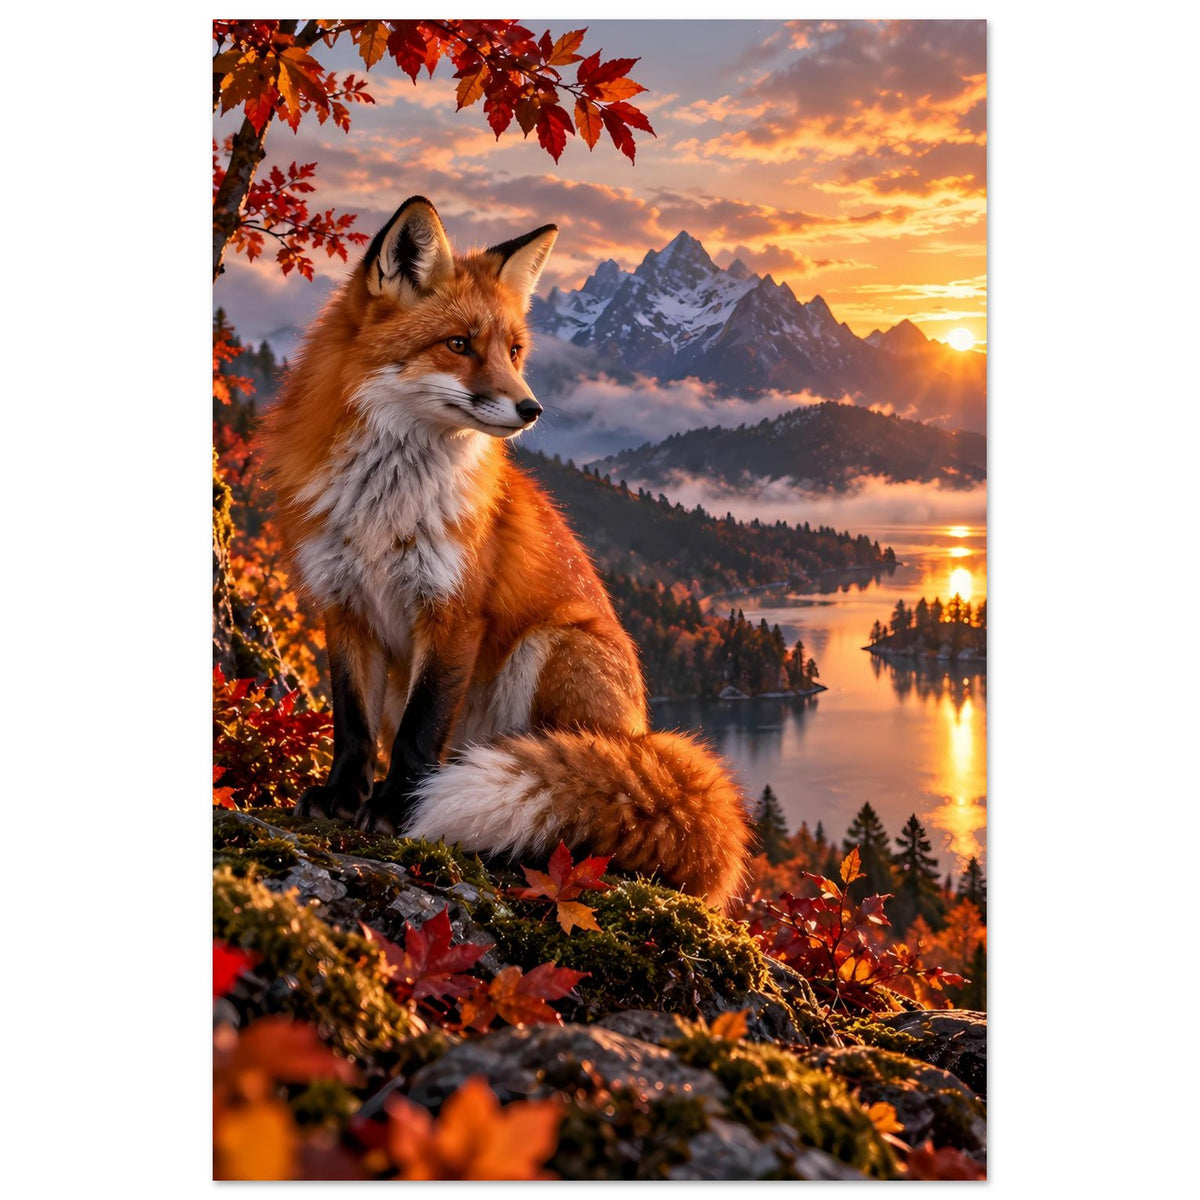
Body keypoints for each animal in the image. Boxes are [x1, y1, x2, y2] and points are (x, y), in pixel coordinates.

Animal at [261, 196, 751, 909]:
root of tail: (642, 735)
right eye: (459, 344)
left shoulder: (453, 611)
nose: (531, 408)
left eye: (514, 350)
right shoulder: (343, 604)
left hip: (550, 646)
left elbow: (418, 734)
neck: (385, 505)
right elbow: (352, 726)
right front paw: (342, 798)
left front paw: (397, 812)